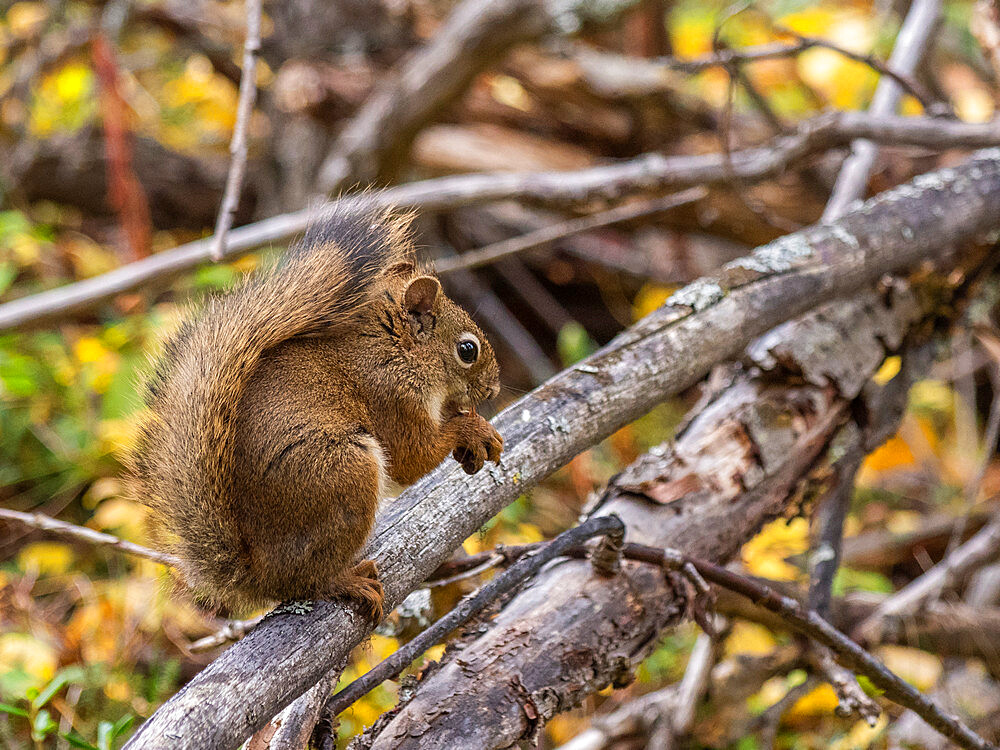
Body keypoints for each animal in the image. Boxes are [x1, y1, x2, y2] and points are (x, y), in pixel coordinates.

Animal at [127, 206, 500, 624]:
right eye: (467, 350)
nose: (494, 389)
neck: (395, 347)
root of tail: (258, 574)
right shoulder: (390, 395)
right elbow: (412, 457)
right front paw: (471, 427)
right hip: (344, 474)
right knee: (306, 582)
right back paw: (345, 581)